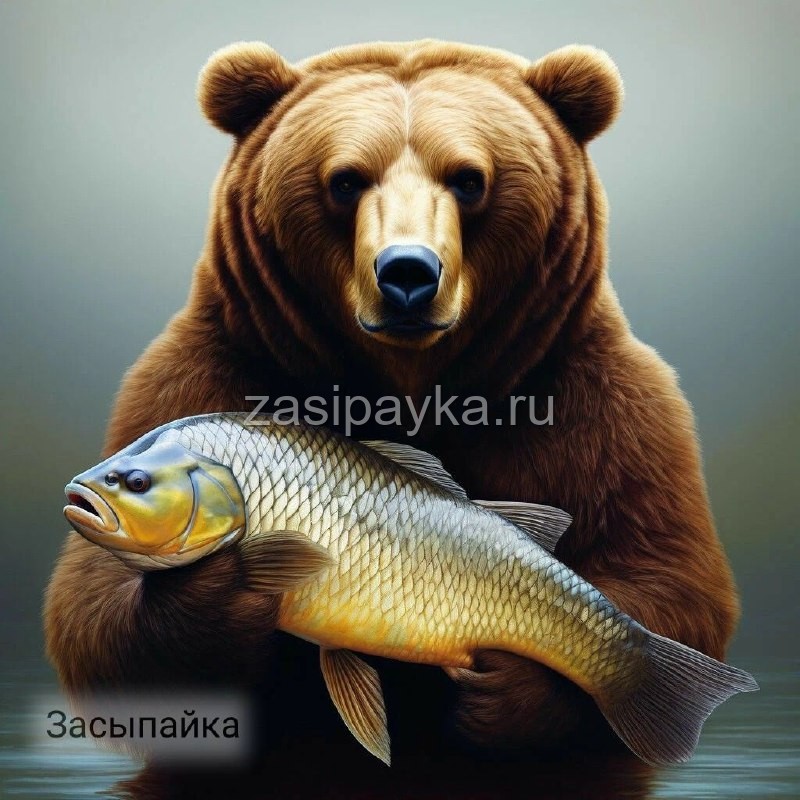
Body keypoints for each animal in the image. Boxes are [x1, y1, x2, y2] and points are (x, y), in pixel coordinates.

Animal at [44, 40, 739, 798]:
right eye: (345, 181)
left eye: (469, 180)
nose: (408, 272)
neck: (410, 383)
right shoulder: (183, 374)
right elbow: (93, 609)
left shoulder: (618, 404)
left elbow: (669, 574)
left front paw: (507, 695)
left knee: (636, 641)